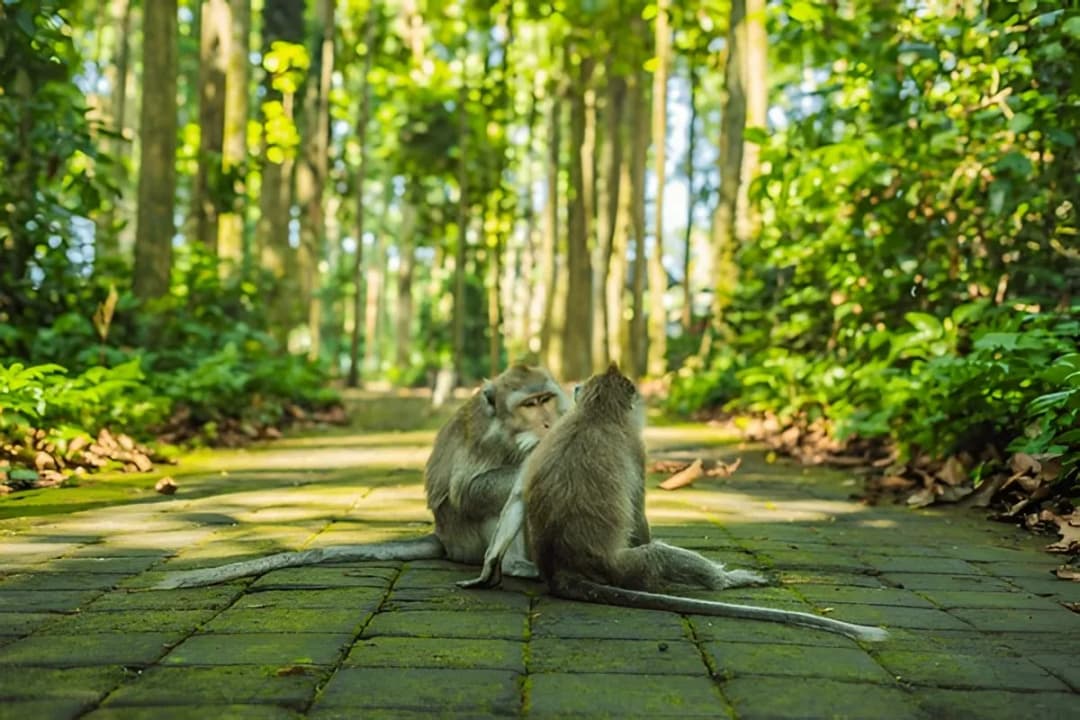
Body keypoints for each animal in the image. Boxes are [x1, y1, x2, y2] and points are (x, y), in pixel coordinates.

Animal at [154, 365, 570, 590]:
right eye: (529, 404)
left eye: (546, 399)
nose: (549, 423)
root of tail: (443, 539)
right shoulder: (484, 436)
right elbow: (466, 491)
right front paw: (535, 452)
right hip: (465, 537)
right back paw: (514, 565)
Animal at [460, 364, 888, 643]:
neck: (596, 412)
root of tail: (564, 570)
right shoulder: (638, 449)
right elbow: (638, 515)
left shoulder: (549, 437)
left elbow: (517, 496)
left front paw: (487, 571)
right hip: (621, 567)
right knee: (658, 554)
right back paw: (726, 580)